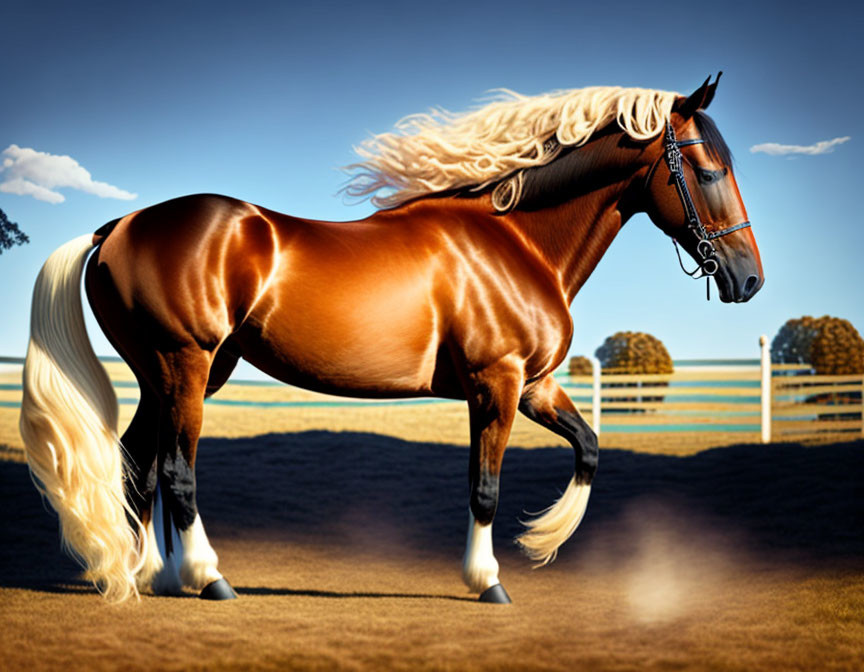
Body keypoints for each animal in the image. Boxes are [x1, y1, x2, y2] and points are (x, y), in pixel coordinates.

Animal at [20, 73, 764, 604]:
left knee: (136, 463)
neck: (517, 244)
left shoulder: (535, 386)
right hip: (187, 366)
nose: (748, 278)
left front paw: (541, 540)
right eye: (707, 170)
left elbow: (589, 448)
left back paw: (145, 574)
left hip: (168, 374)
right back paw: (207, 577)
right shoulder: (497, 383)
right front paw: (490, 579)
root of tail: (117, 226)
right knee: (176, 470)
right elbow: (485, 485)